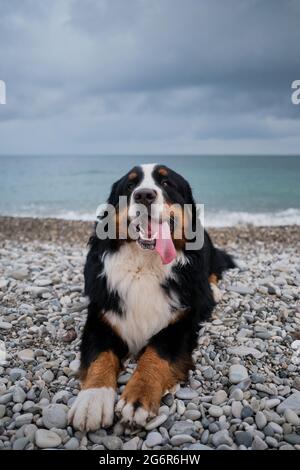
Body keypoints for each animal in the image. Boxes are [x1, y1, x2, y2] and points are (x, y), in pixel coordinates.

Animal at [68, 163, 234, 432]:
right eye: (130, 185)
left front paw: (138, 397)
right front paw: (92, 401)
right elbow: (99, 357)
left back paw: (214, 290)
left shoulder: (182, 320)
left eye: (166, 183)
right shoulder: (101, 315)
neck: (143, 266)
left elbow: (156, 353)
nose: (144, 195)